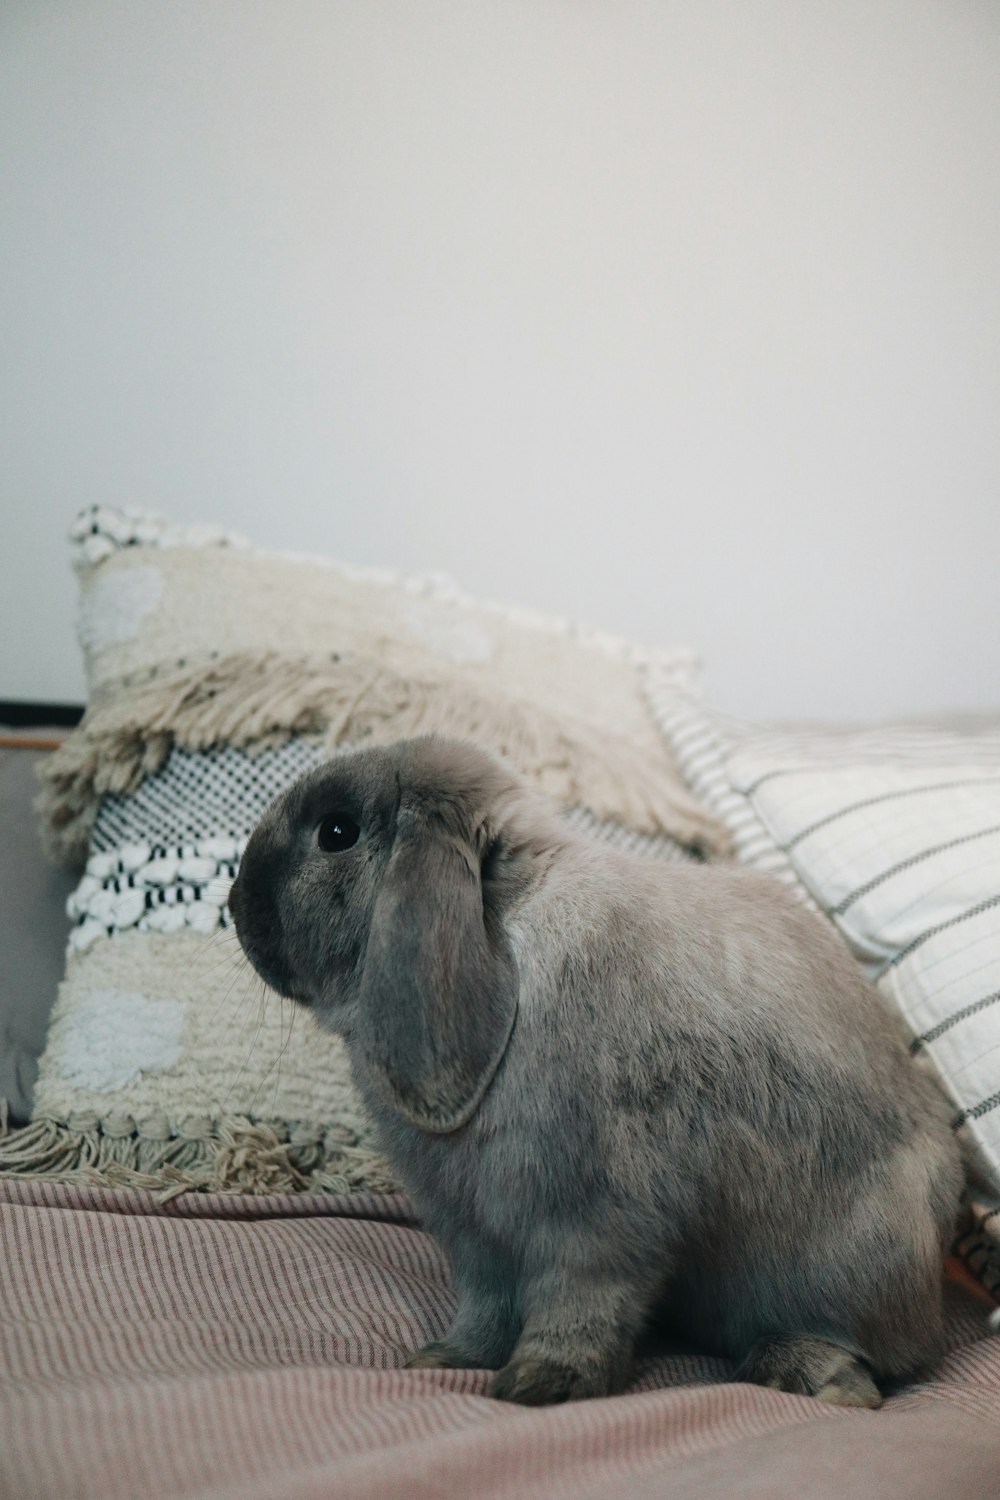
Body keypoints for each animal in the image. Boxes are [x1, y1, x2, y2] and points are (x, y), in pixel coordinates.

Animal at [230, 735, 965, 1404]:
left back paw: (810, 1377)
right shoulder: (476, 1235)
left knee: (856, 1349)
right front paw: (442, 1359)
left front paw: (538, 1385)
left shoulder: (596, 1219)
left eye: (336, 833)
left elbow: (578, 1305)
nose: (235, 905)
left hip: (841, 1265)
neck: (508, 928)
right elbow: (484, 1311)